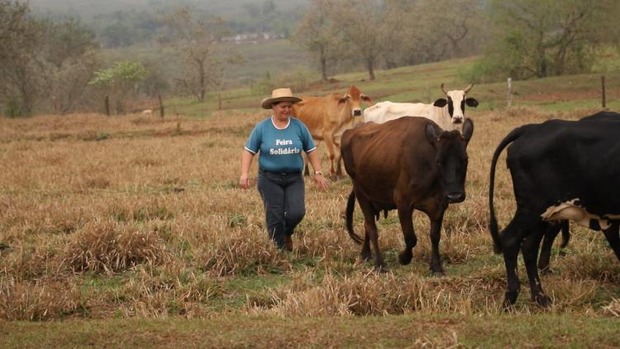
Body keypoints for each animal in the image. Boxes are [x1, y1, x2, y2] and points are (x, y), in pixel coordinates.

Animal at [342, 115, 472, 274]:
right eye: (439, 161)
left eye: (465, 159)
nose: (455, 195)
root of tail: (350, 132)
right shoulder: (403, 203)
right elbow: (410, 237)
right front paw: (404, 257)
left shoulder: (440, 205)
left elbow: (435, 236)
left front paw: (436, 266)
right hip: (361, 194)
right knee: (371, 228)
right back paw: (379, 264)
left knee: (367, 226)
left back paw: (366, 254)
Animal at [490, 111, 620, 304]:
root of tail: (531, 128)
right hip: (532, 209)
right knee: (511, 239)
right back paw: (511, 297)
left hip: (544, 215)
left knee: (529, 247)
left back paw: (540, 297)